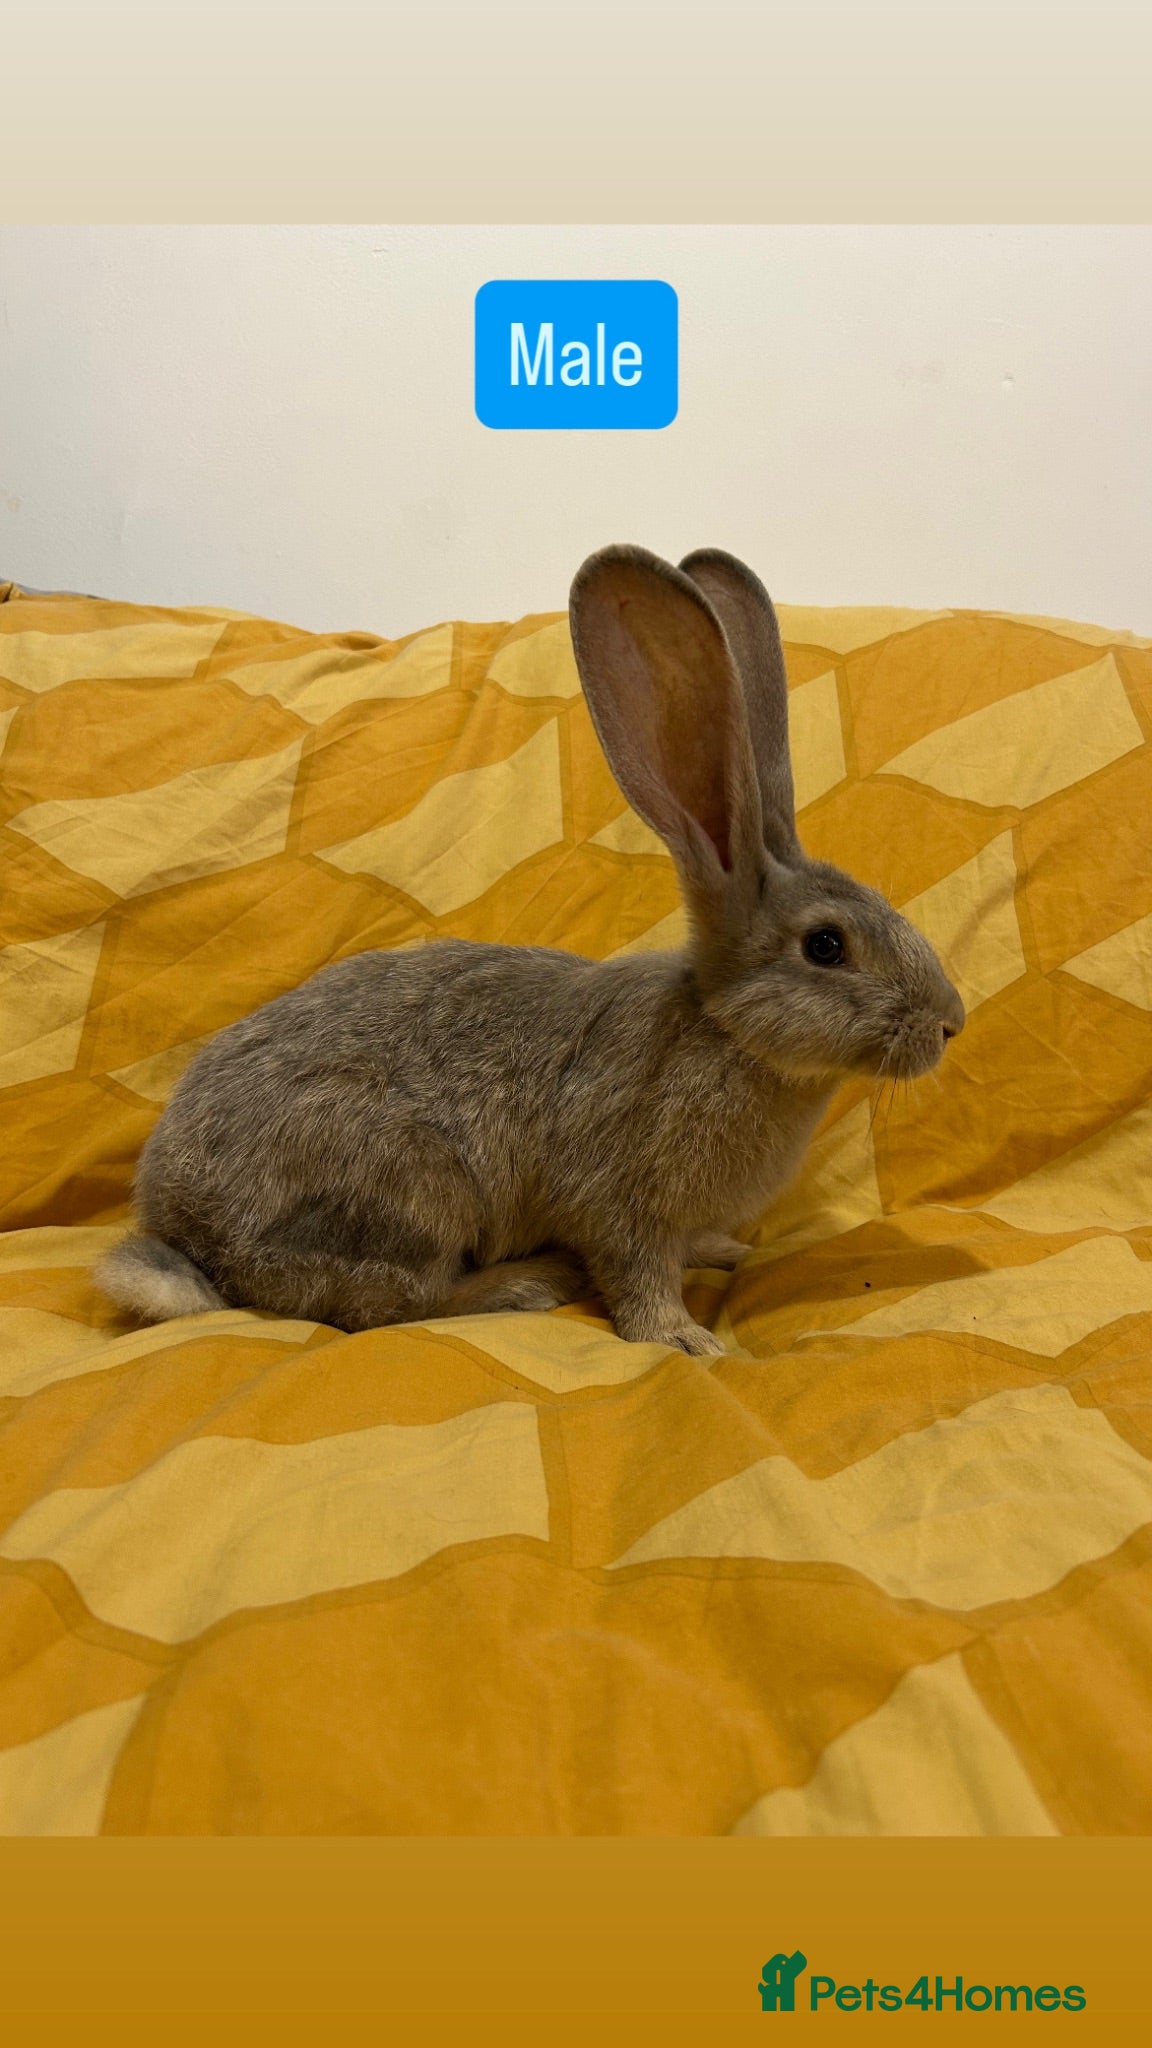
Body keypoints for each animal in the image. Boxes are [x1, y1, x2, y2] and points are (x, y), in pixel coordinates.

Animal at [96, 544, 965, 1356]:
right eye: (826, 946)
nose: (950, 1023)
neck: (726, 1031)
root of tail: (186, 1230)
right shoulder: (618, 1198)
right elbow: (637, 1273)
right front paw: (686, 1338)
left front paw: (722, 1250)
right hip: (417, 1188)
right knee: (379, 1301)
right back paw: (523, 1284)